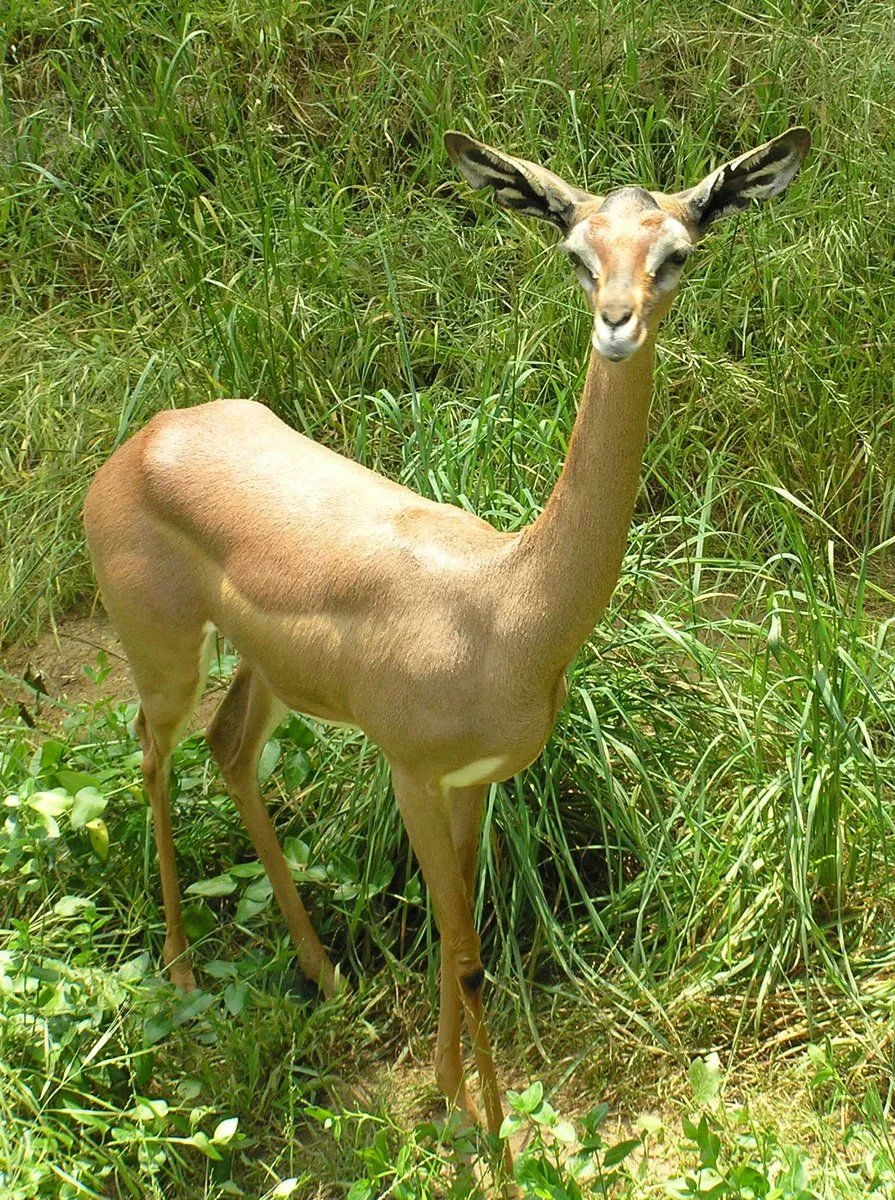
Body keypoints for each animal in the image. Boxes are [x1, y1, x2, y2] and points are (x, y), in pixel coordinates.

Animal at [83, 125, 810, 1149]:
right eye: (576, 251)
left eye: (675, 252)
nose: (617, 323)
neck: (505, 607)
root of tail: (142, 441)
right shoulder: (411, 774)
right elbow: (464, 952)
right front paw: (490, 1136)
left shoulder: (474, 784)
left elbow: (458, 935)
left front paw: (452, 1094)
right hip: (164, 657)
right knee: (150, 753)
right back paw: (183, 972)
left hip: (266, 675)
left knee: (228, 751)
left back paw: (327, 977)